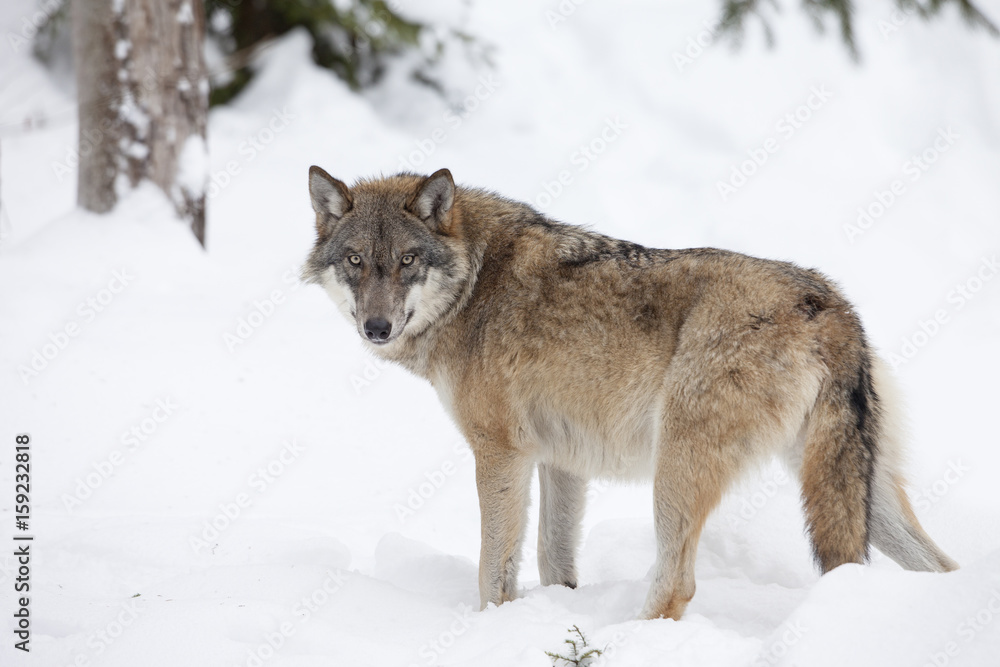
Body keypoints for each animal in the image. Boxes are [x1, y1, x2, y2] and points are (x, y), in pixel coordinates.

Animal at [300, 167, 956, 620]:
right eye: (356, 261)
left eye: (408, 260)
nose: (376, 327)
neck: (473, 284)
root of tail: (831, 306)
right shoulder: (560, 462)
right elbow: (553, 561)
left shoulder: (500, 454)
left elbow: (494, 570)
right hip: (854, 488)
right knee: (940, 565)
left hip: (677, 469)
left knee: (676, 584)